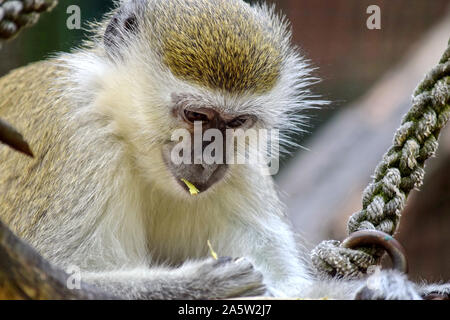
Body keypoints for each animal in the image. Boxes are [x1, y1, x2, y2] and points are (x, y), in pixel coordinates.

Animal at [0, 0, 446, 300]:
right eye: (196, 115)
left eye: (235, 123)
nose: (210, 156)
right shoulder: (84, 138)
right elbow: (69, 276)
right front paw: (198, 287)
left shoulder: (244, 168)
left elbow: (286, 287)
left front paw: (386, 289)